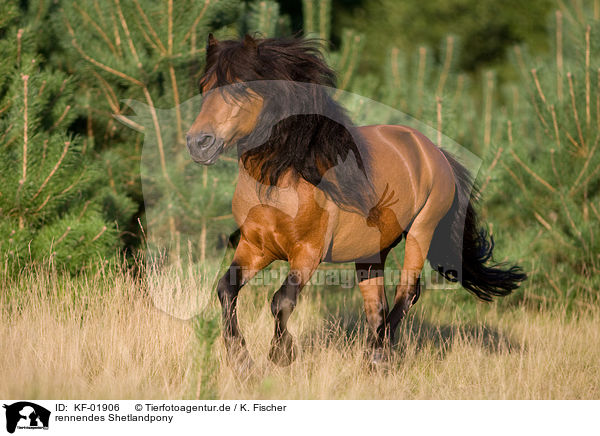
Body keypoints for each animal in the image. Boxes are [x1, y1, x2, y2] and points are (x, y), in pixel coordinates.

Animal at [188, 33, 524, 368]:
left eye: (239, 87)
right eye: (204, 86)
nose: (198, 143)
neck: (282, 178)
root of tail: (434, 152)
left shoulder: (308, 252)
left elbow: (281, 300)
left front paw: (281, 354)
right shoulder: (255, 248)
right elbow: (226, 289)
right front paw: (239, 356)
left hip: (421, 231)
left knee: (406, 293)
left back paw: (379, 354)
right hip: (371, 253)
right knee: (377, 305)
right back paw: (372, 357)